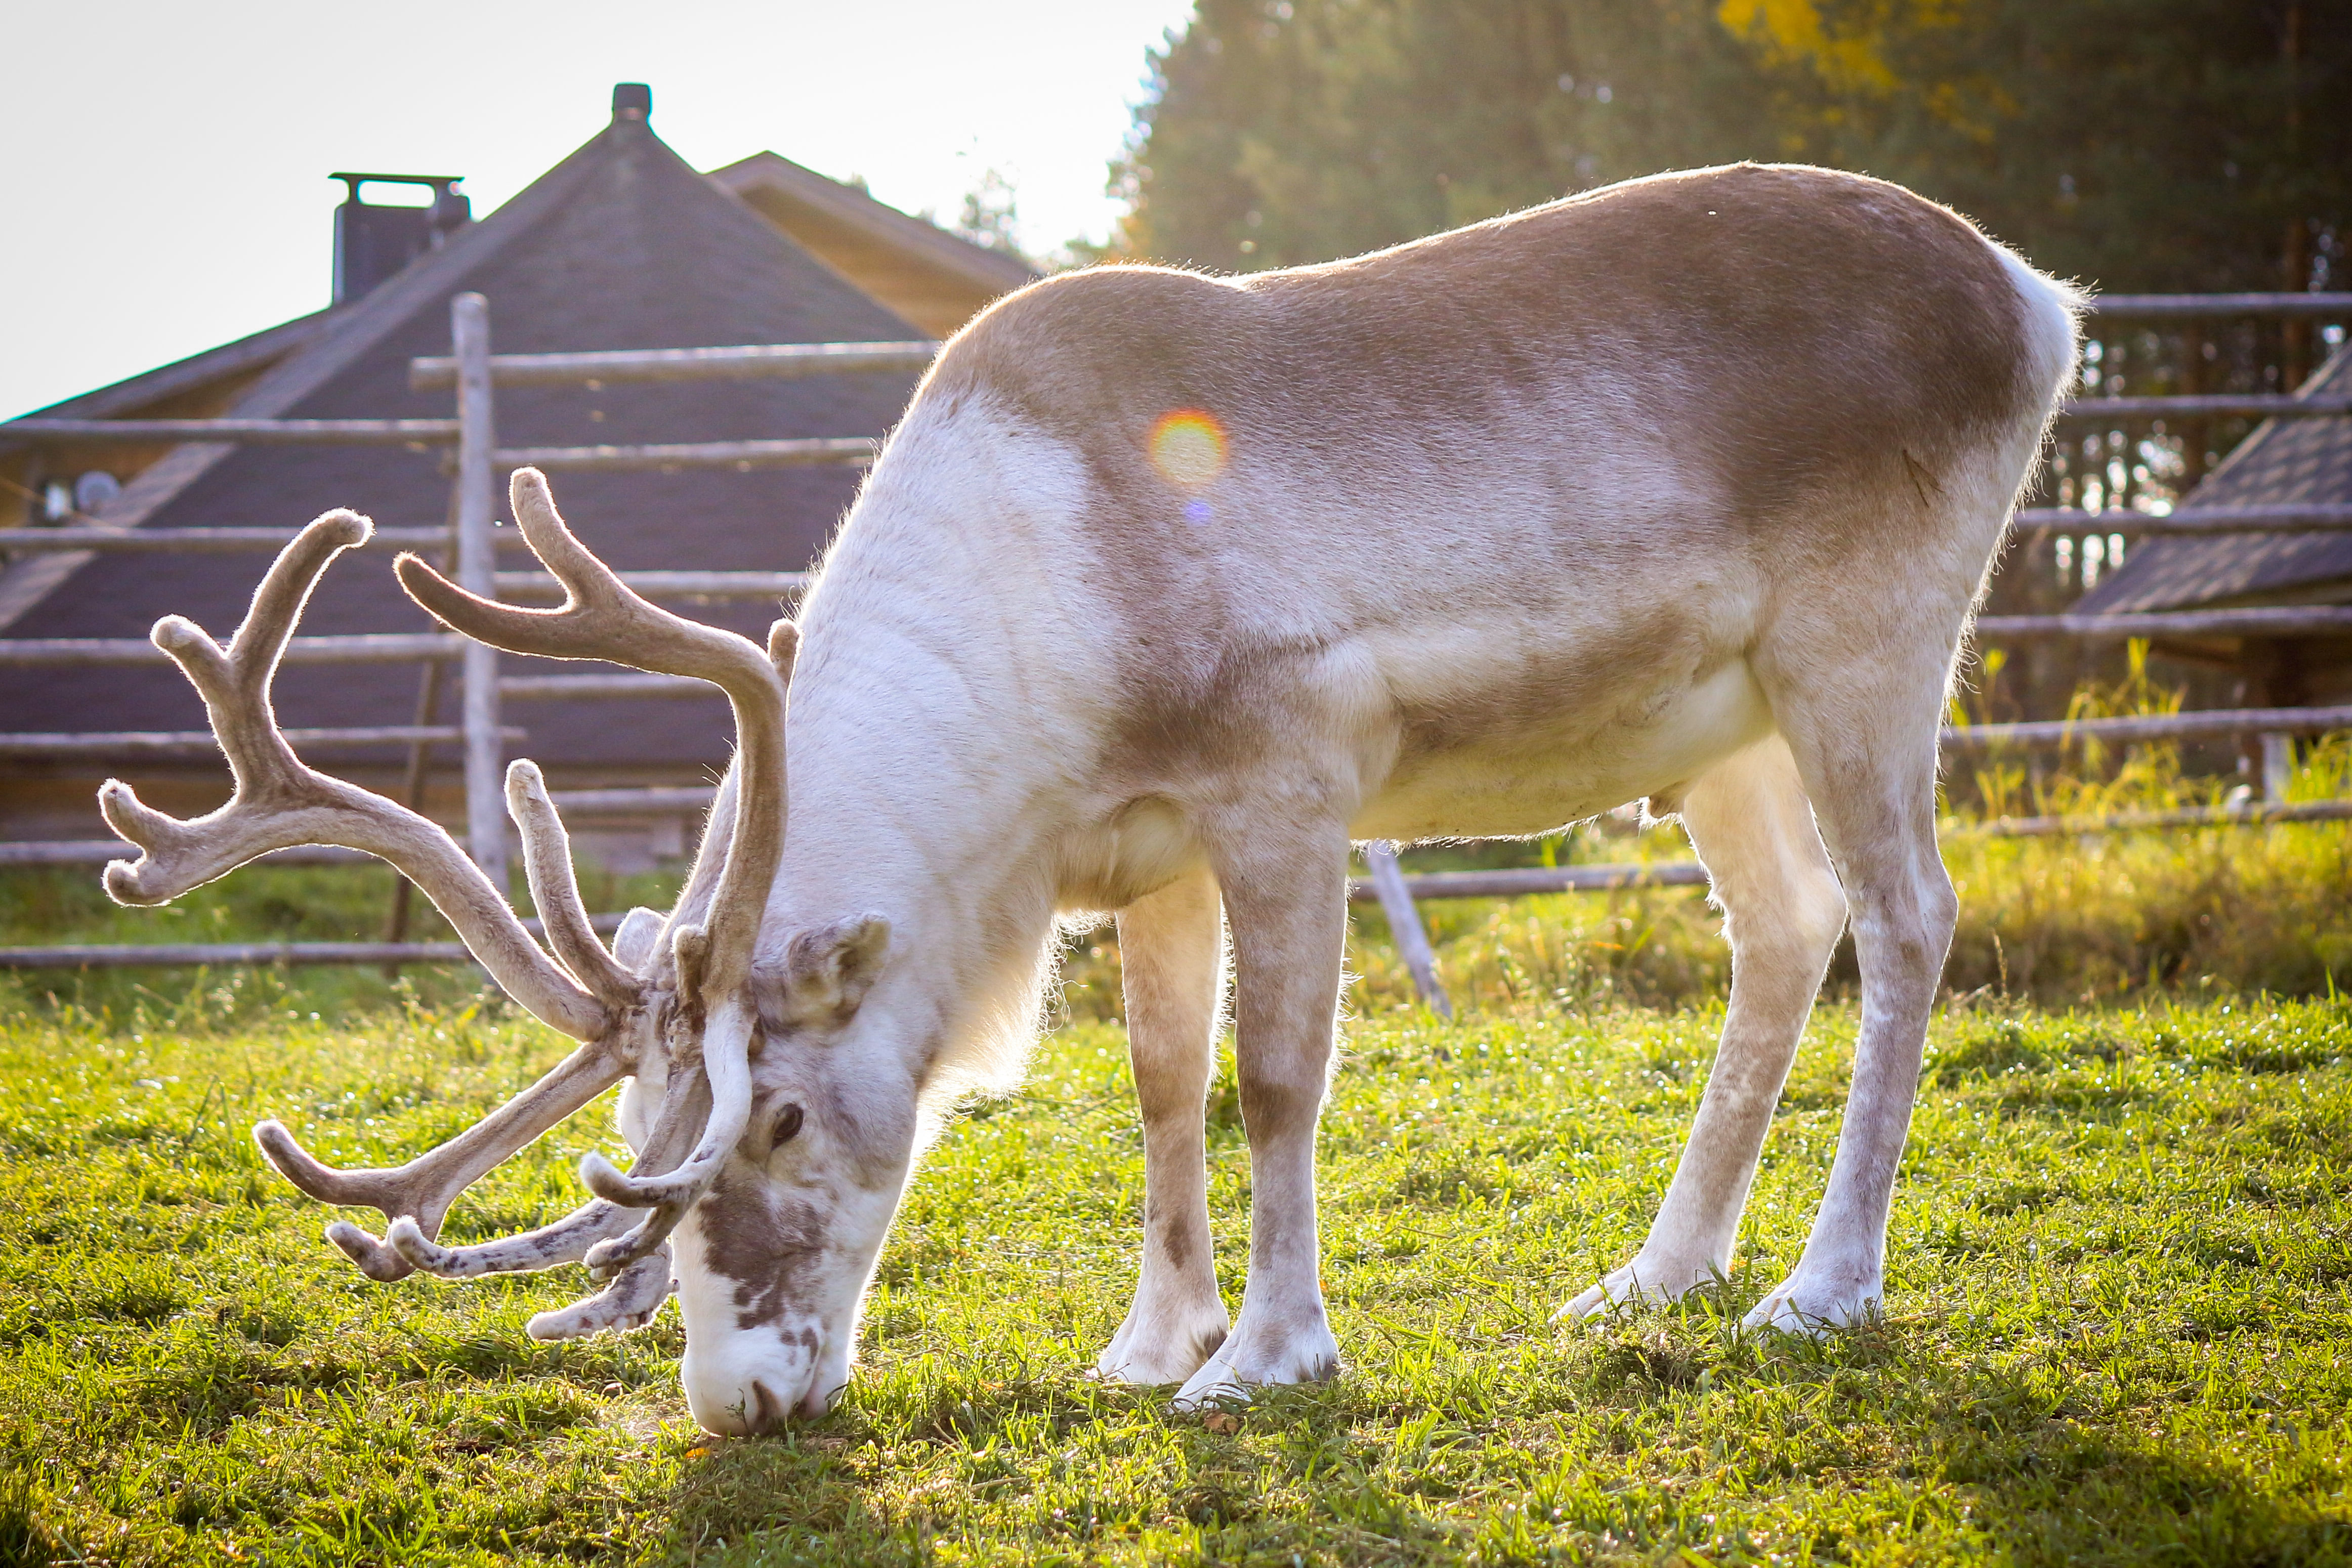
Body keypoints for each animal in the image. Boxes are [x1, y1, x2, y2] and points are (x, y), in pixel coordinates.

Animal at [100, 163, 2079, 1436]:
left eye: (782, 1117)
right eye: (648, 1141)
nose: (738, 1403)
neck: (1040, 634)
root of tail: (2039, 298)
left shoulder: (1286, 783)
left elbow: (1270, 1077)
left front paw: (1263, 1356)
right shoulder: (1146, 850)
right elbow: (1153, 1086)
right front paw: (1147, 1341)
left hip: (1866, 642)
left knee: (1907, 919)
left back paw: (1818, 1285)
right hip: (1718, 721)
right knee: (1783, 933)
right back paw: (1650, 1276)